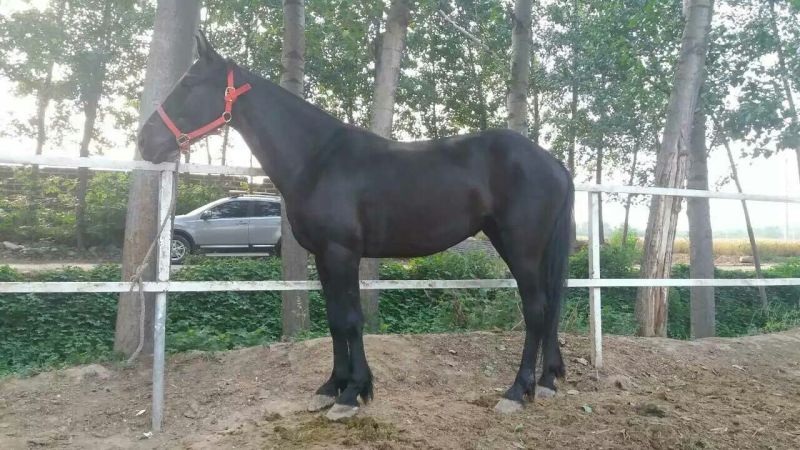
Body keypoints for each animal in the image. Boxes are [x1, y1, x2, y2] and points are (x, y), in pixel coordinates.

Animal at [138, 33, 574, 420]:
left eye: (189, 84)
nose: (144, 141)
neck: (317, 158)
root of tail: (554, 163)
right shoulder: (324, 257)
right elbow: (335, 320)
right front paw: (332, 388)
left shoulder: (341, 253)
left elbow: (350, 320)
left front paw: (351, 395)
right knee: (551, 308)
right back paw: (547, 382)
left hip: (521, 248)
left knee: (536, 310)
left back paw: (517, 391)